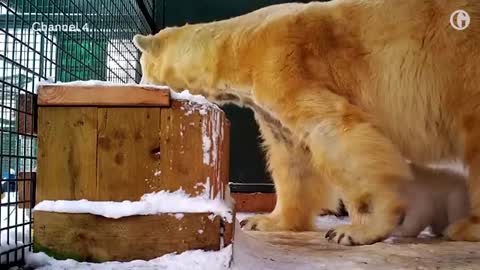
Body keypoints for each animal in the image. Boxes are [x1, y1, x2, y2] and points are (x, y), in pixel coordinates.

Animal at [133, 0, 480, 246]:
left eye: (142, 66)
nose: (140, 84)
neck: (236, 49)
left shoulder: (285, 65)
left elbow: (333, 132)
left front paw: (359, 227)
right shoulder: (266, 99)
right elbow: (292, 156)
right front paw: (266, 221)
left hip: (462, 69)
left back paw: (465, 227)